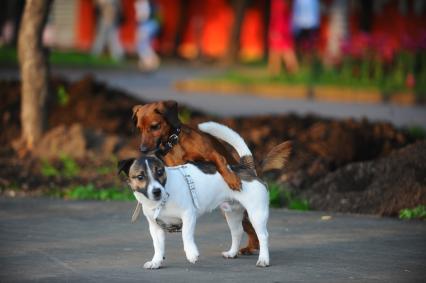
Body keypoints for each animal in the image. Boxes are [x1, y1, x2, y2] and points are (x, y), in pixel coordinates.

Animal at [118, 121, 292, 268]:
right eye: (140, 177)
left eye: (159, 172)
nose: (156, 191)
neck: (162, 200)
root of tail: (246, 168)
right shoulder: (155, 227)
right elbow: (158, 246)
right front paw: (156, 261)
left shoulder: (188, 216)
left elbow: (186, 236)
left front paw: (191, 253)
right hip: (232, 213)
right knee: (237, 232)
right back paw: (232, 253)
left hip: (256, 214)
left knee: (263, 236)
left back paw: (263, 259)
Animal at [133, 100, 258, 255]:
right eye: (139, 129)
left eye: (155, 126)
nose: (142, 149)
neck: (176, 142)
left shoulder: (213, 155)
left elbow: (221, 164)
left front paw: (232, 179)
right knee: (247, 228)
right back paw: (250, 247)